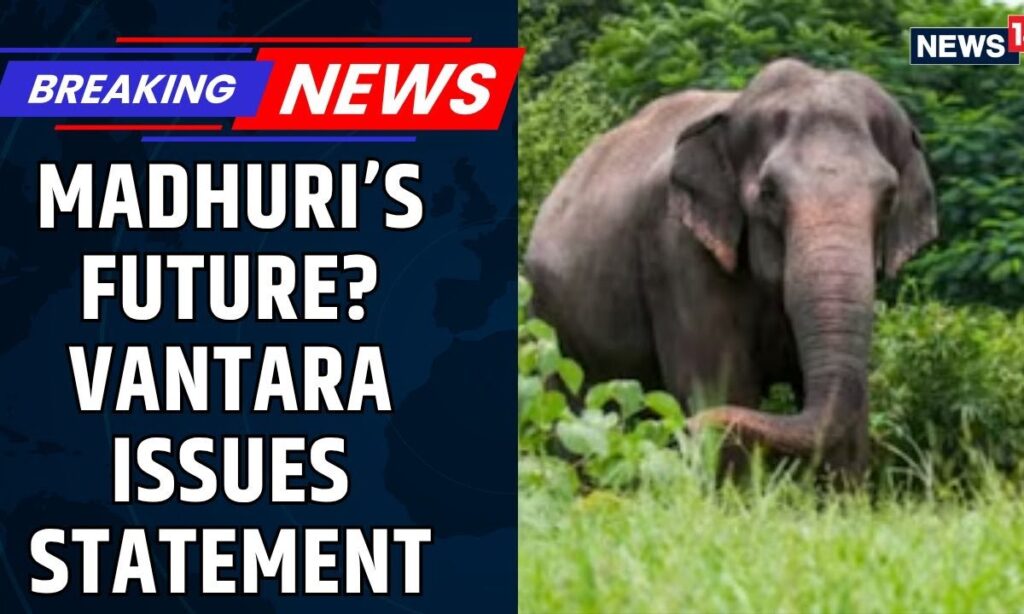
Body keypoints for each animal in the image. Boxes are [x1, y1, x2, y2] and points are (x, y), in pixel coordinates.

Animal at [524, 59, 937, 477]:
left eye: (889, 197)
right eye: (769, 193)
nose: (687, 426)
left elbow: (850, 408)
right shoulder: (676, 248)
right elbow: (720, 385)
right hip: (551, 326)